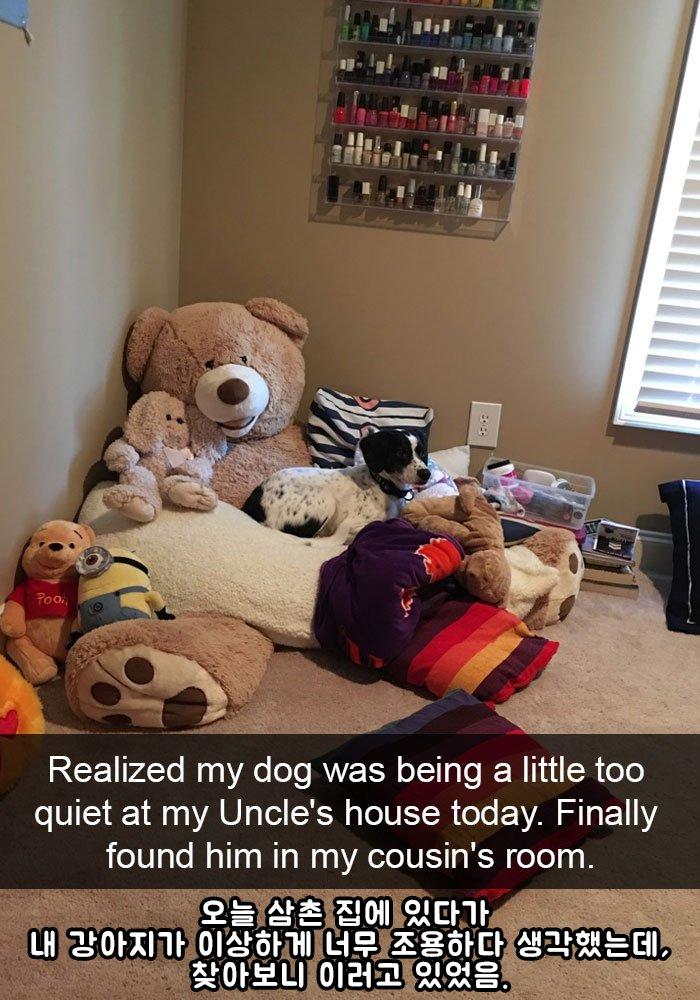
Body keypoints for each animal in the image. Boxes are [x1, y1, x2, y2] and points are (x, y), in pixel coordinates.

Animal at [243, 429, 431, 544]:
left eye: (422, 452)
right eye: (400, 452)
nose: (426, 474)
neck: (382, 485)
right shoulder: (353, 525)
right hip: (326, 501)